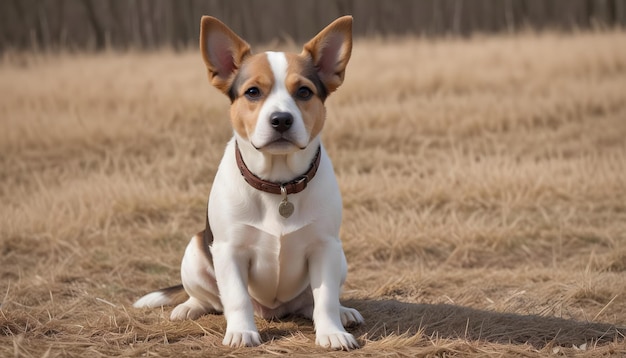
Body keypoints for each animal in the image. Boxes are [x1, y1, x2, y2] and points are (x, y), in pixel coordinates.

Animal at [134, 16, 364, 350]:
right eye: (253, 92)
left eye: (304, 92)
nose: (281, 120)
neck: (279, 184)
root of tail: (272, 310)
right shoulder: (229, 251)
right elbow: (236, 297)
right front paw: (242, 331)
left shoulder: (325, 247)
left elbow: (325, 299)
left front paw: (332, 331)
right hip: (195, 252)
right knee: (209, 298)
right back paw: (188, 307)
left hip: (340, 258)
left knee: (310, 302)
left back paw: (343, 312)